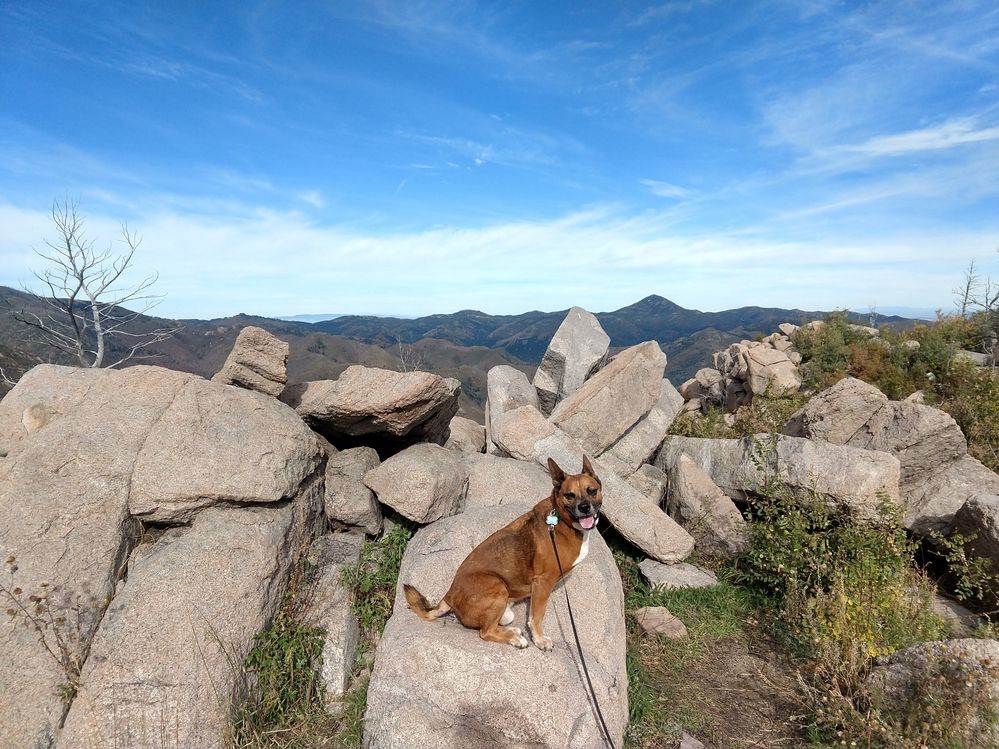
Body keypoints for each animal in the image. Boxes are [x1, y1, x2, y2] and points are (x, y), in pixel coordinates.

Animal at [404, 452, 600, 644]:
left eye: (592, 490)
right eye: (570, 495)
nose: (584, 507)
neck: (561, 520)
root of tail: (448, 596)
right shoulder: (543, 582)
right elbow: (536, 616)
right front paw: (539, 640)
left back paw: (511, 631)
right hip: (498, 587)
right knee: (485, 632)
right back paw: (513, 638)